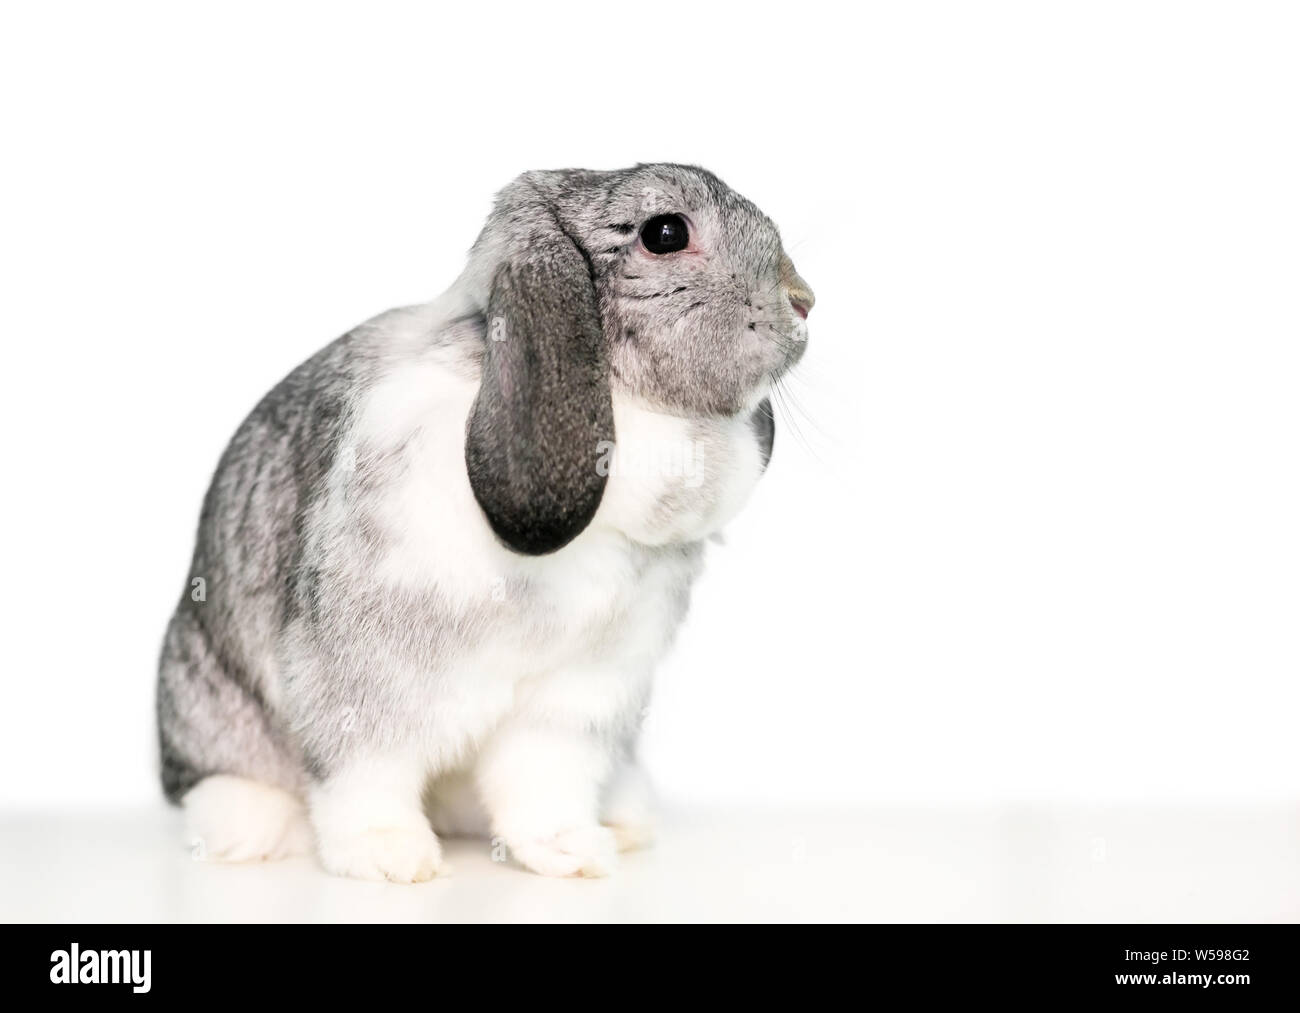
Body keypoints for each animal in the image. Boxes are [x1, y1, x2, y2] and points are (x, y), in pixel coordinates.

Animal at [157, 164, 816, 879]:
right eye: (665, 233)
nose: (804, 300)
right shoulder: (361, 688)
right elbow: (363, 778)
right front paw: (391, 857)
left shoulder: (573, 699)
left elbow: (543, 784)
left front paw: (571, 852)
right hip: (205, 700)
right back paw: (248, 828)